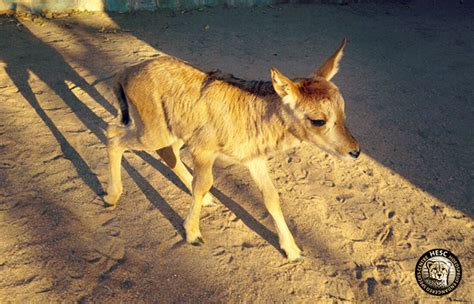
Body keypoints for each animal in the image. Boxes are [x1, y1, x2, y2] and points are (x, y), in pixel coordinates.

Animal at [104, 38, 360, 262]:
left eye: (343, 111)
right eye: (318, 120)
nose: (355, 151)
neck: (255, 117)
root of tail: (125, 72)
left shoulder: (254, 159)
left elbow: (271, 197)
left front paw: (293, 250)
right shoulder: (203, 150)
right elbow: (203, 183)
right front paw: (193, 234)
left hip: (174, 132)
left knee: (166, 153)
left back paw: (207, 200)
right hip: (152, 132)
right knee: (113, 135)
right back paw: (111, 196)